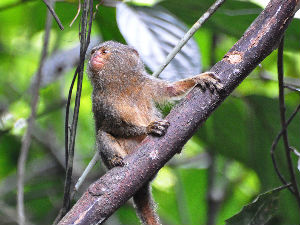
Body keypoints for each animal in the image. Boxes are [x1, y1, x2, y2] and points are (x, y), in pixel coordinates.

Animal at [87, 40, 223, 225]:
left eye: (104, 52)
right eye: (93, 52)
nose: (94, 56)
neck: (120, 84)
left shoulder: (146, 84)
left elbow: (171, 89)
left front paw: (200, 78)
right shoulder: (100, 101)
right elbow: (109, 126)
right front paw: (149, 128)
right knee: (103, 135)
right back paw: (115, 160)